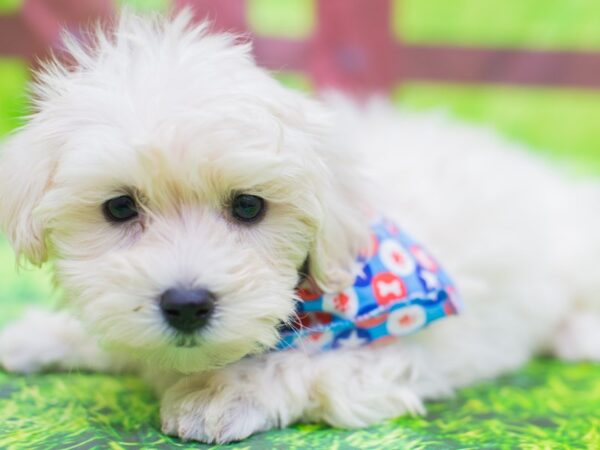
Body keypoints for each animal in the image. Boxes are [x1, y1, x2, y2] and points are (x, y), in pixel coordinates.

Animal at [1, 9, 600, 442]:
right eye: (120, 208)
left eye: (249, 207)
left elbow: (303, 364)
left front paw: (222, 393)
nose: (187, 305)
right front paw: (37, 336)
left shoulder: (404, 350)